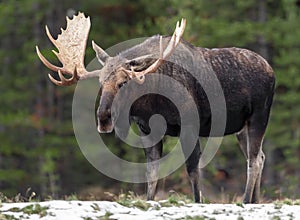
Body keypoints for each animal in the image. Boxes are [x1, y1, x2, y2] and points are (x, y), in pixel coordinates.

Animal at [36, 12, 276, 204]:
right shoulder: (147, 131)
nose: (103, 118)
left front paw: (198, 202)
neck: (152, 104)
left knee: (253, 160)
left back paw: (246, 200)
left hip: (259, 116)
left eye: (123, 82)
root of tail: (271, 70)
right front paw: (149, 201)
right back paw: (255, 200)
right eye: (101, 83)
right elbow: (151, 173)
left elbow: (192, 171)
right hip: (240, 128)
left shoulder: (190, 126)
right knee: (261, 156)